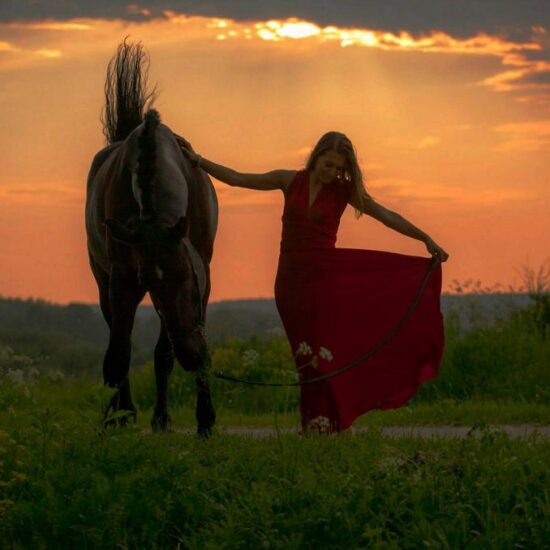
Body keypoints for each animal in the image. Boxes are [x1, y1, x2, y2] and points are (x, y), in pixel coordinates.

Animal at [85, 38, 219, 438]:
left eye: (188, 276)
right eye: (150, 281)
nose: (191, 354)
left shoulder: (204, 281)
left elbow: (164, 353)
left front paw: (203, 418)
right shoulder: (123, 281)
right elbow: (119, 353)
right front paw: (119, 417)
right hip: (104, 283)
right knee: (119, 338)